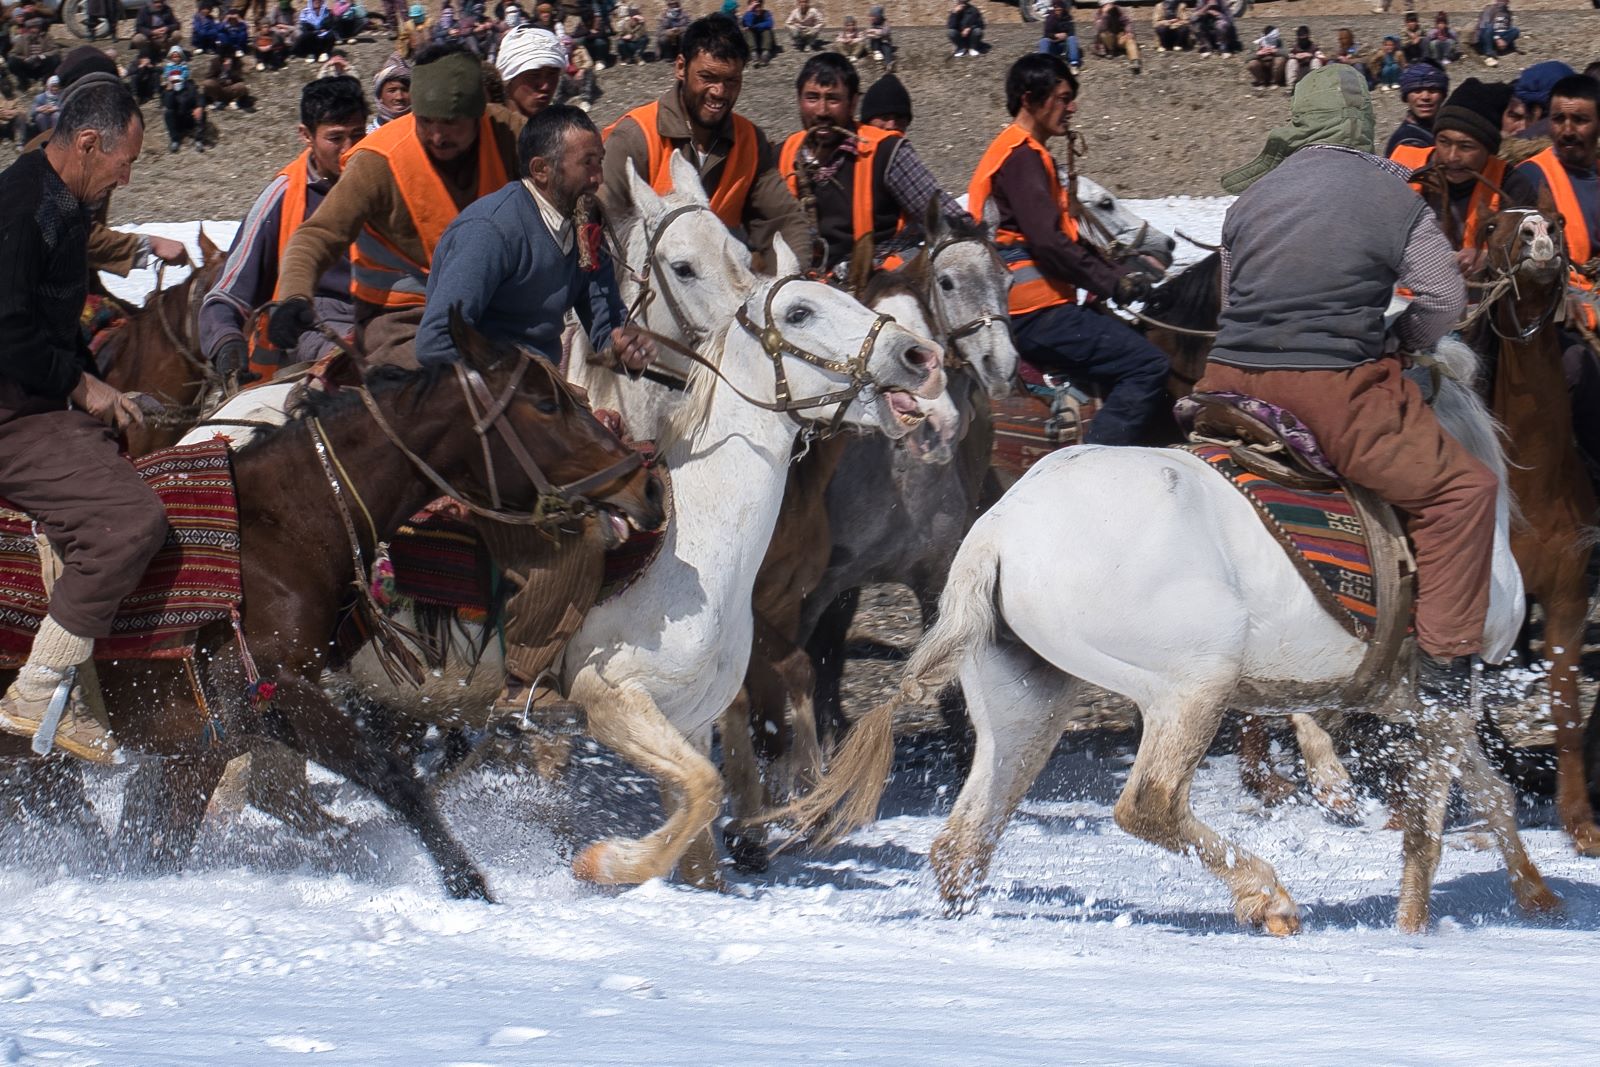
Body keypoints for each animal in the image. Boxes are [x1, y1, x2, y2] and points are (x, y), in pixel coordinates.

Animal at [0, 316, 662, 902]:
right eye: (546, 405)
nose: (646, 486)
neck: (281, 528)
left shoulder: (204, 741)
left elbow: (155, 847)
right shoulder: (274, 693)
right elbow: (394, 779)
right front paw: (468, 885)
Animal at [780, 340, 1555, 934]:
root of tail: (998, 533)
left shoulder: (1416, 702)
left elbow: (1488, 790)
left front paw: (1535, 891)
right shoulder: (1440, 698)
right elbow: (1433, 818)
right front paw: (1416, 922)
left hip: (1026, 700)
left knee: (965, 836)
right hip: (1190, 688)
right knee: (1147, 804)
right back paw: (1268, 897)